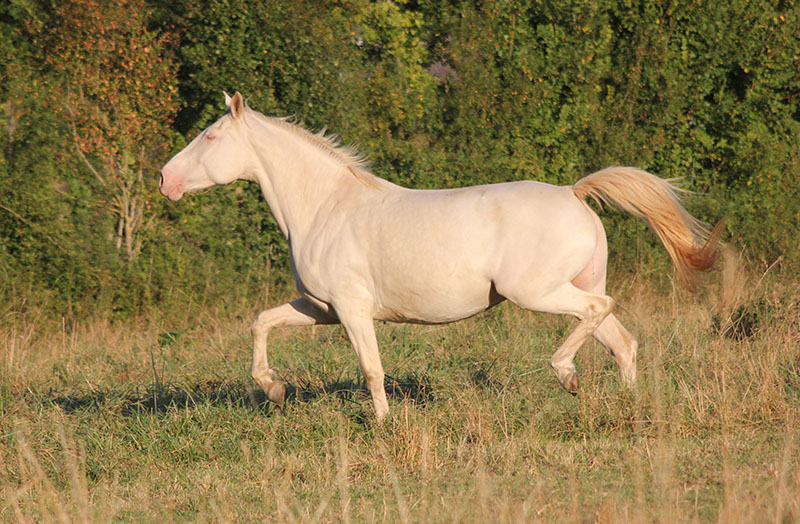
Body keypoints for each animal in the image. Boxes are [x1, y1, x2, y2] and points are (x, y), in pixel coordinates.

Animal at [159, 93, 720, 422]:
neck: (325, 206)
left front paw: (384, 427)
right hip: (574, 285)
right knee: (622, 340)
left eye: (210, 136)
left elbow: (372, 370)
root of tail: (574, 193)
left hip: (537, 292)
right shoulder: (321, 308)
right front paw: (273, 390)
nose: (165, 179)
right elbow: (261, 322)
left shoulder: (353, 311)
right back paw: (626, 406)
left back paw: (566, 375)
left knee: (599, 315)